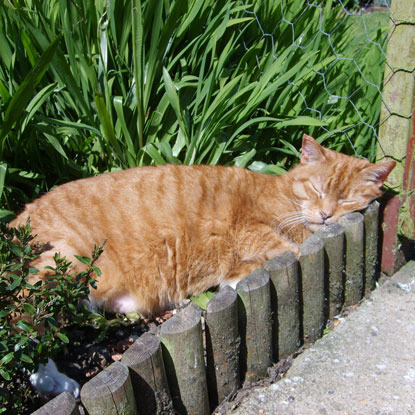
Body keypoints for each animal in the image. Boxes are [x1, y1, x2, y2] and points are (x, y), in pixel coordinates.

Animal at [10, 135, 396, 316]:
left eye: (345, 200)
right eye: (317, 190)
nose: (327, 215)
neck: (286, 197)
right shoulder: (250, 229)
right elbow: (293, 250)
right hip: (56, 268)